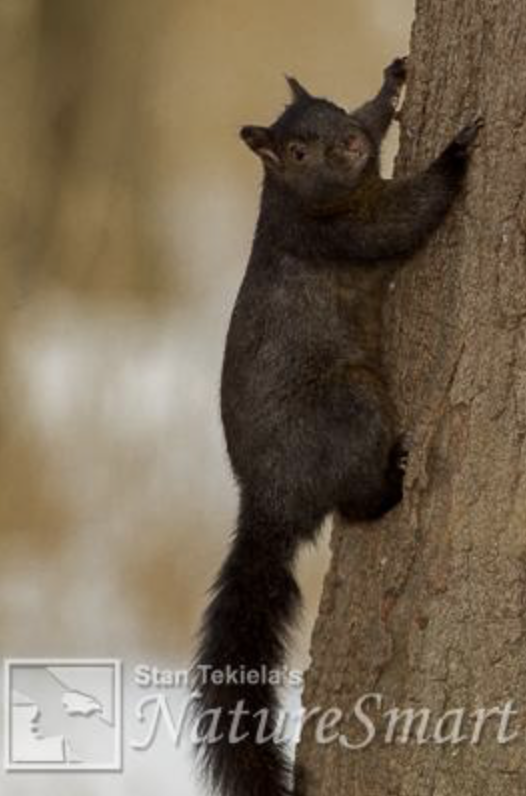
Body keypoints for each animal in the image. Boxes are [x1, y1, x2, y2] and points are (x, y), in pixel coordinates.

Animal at [193, 57, 482, 796]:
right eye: (297, 151)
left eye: (333, 112)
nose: (346, 144)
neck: (295, 198)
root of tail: (269, 500)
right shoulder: (342, 231)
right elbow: (406, 219)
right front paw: (456, 155)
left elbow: (382, 123)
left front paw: (390, 84)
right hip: (349, 407)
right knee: (354, 502)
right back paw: (393, 482)